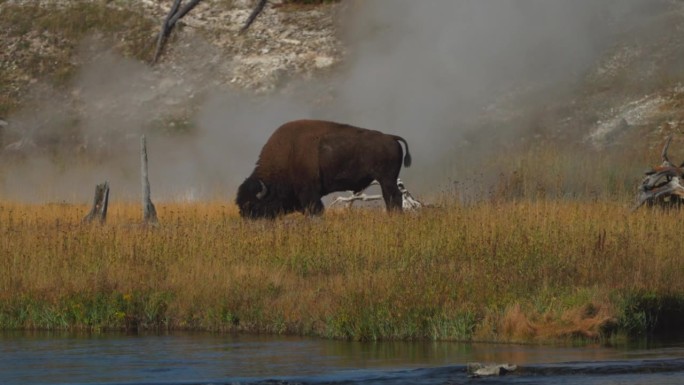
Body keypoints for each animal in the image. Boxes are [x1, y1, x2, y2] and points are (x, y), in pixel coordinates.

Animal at [236, 118, 412, 218]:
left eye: (253, 205)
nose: (249, 221)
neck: (288, 153)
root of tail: (390, 137)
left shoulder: (309, 193)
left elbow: (316, 210)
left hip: (386, 179)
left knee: (393, 197)